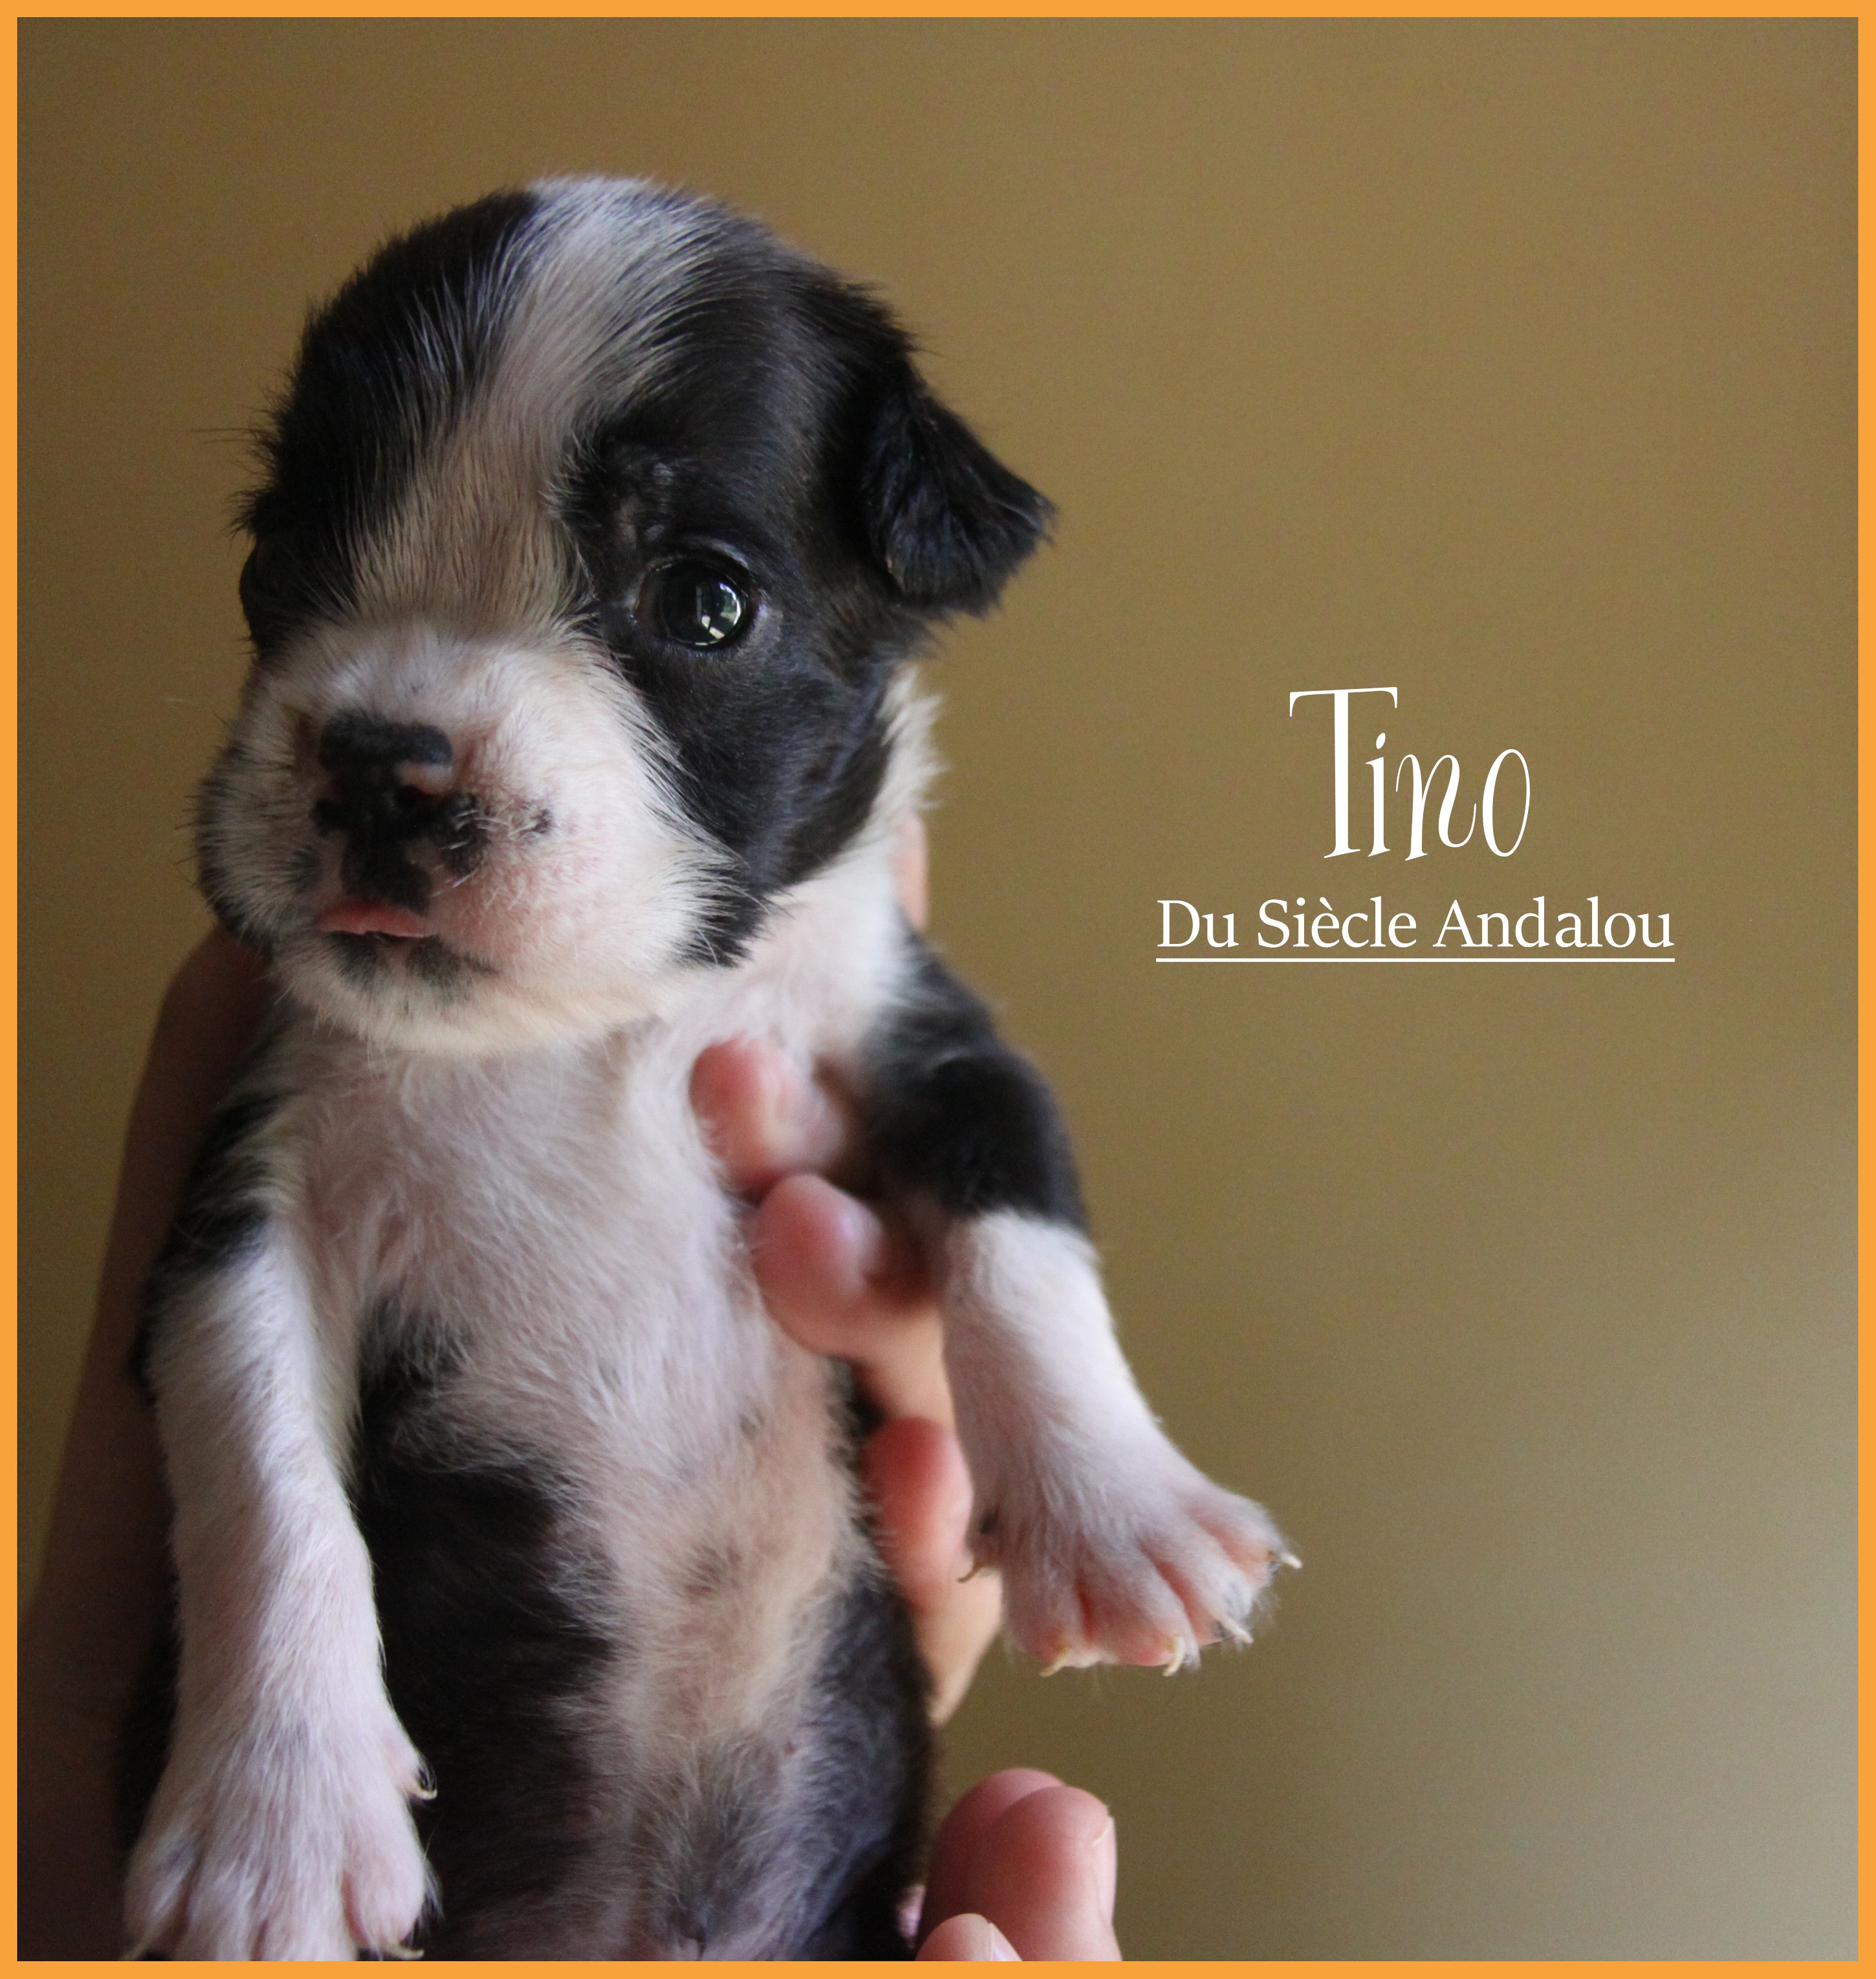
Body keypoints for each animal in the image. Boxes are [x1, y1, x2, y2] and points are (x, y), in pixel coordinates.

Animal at [120, 177, 1290, 1959]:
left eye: (704, 604)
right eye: (275, 556)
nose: (381, 763)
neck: (596, 1026)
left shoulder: (924, 1040)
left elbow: (1023, 1234)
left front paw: (1116, 1512)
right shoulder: (250, 1184)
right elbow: (262, 1480)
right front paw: (278, 1824)